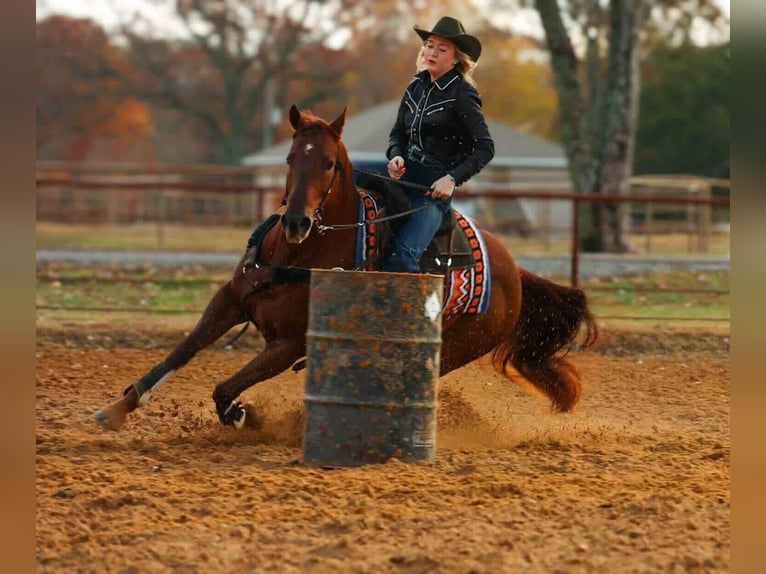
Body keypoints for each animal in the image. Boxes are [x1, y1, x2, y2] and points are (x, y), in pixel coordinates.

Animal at [94, 105, 598, 432]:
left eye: (330, 163)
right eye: (291, 158)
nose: (297, 222)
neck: (298, 256)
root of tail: (513, 272)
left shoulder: (290, 342)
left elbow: (224, 386)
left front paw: (243, 415)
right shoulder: (229, 301)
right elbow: (180, 352)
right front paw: (116, 410)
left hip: (456, 349)